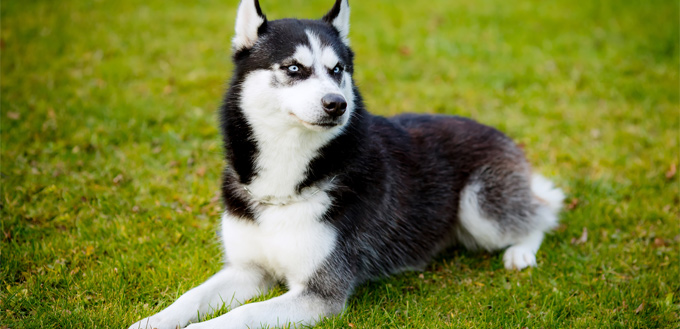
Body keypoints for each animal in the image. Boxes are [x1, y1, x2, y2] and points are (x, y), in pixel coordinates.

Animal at [127, 1, 564, 326]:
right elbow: (188, 299)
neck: (286, 179)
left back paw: (521, 252)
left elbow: (236, 318)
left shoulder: (320, 293)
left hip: (479, 206)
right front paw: (149, 322)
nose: (336, 104)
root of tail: (499, 132)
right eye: (294, 68)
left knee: (544, 212)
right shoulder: (248, 269)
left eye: (337, 70)